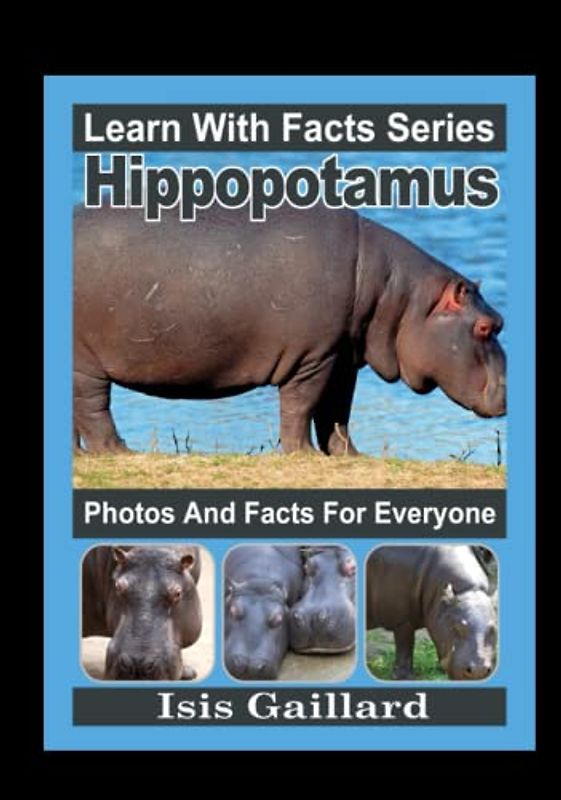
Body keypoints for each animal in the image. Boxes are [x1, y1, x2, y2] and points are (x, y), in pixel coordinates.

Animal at [74, 204, 506, 454]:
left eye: (499, 321)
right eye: (486, 327)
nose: (506, 394)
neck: (398, 295)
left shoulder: (342, 358)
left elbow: (337, 410)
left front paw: (349, 456)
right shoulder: (313, 357)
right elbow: (302, 405)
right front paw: (304, 455)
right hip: (85, 364)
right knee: (93, 407)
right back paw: (118, 451)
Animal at [366, 545, 497, 680]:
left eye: (493, 629)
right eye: (456, 626)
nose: (478, 671)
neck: (466, 590)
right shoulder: (403, 621)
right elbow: (405, 647)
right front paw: (405, 678)